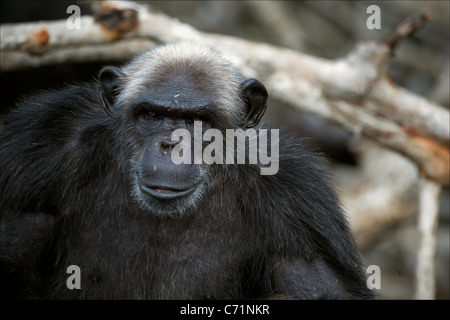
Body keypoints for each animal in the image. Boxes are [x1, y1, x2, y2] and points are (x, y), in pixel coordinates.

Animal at [0, 41, 372, 298]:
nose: (170, 145)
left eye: (197, 121)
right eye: (152, 115)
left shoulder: (297, 201)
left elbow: (321, 285)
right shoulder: (41, 139)